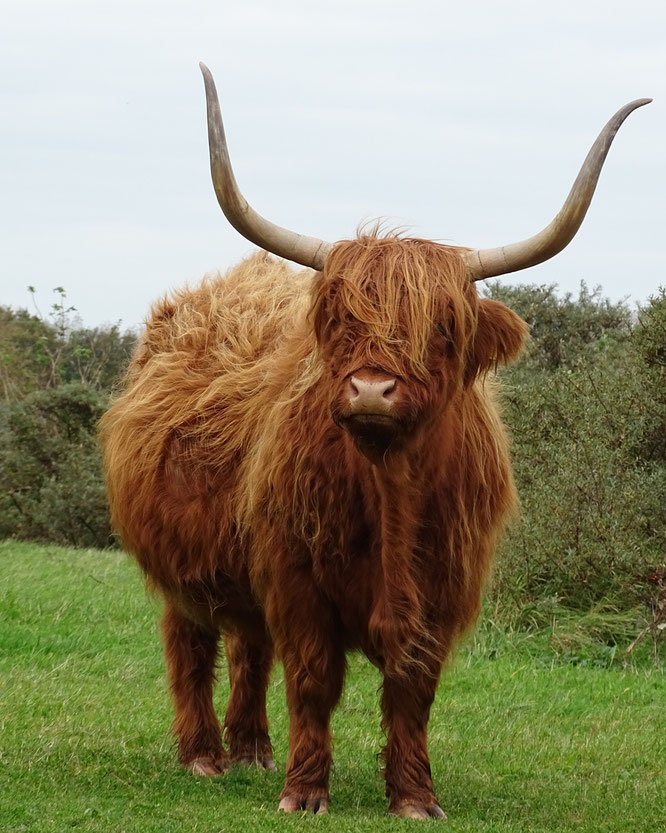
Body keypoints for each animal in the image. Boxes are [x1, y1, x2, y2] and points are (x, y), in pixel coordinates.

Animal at [98, 66, 648, 820]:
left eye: (442, 326)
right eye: (338, 320)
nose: (369, 389)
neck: (390, 491)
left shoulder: (442, 588)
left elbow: (412, 692)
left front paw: (415, 796)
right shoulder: (297, 577)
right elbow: (312, 679)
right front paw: (304, 792)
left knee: (247, 644)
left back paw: (251, 748)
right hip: (184, 562)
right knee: (192, 643)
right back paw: (205, 755)